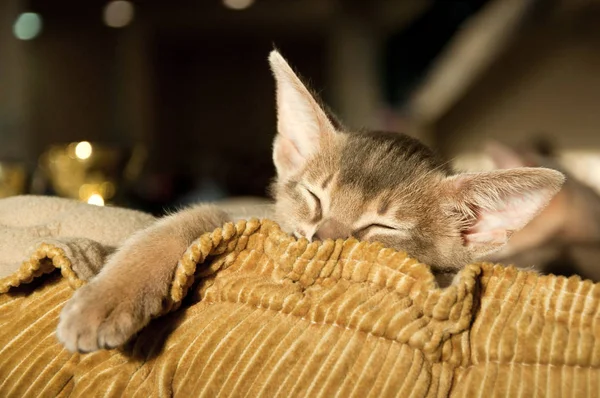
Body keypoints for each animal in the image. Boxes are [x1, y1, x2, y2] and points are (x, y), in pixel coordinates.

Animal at [55, 49, 564, 352]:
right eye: (315, 197)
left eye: (382, 228)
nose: (323, 237)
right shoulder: (237, 212)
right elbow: (177, 224)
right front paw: (103, 302)